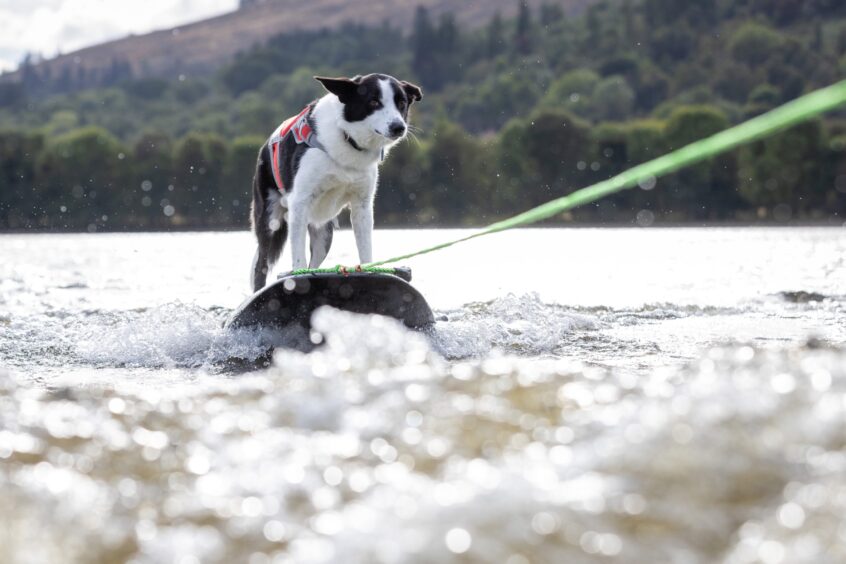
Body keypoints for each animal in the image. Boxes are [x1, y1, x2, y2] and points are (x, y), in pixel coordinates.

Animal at [250, 72, 424, 290]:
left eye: (401, 103)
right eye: (373, 101)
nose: (399, 127)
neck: (347, 137)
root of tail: (264, 148)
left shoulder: (362, 205)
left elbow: (365, 247)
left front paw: (370, 271)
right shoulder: (300, 202)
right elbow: (297, 256)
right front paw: (297, 275)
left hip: (324, 233)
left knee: (315, 263)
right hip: (270, 219)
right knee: (261, 265)